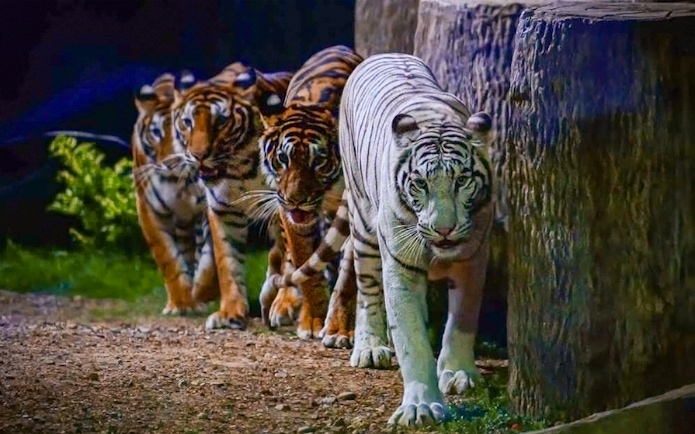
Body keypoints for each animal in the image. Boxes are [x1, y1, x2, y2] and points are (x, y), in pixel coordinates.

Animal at [132, 72, 218, 315]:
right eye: (156, 133)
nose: (171, 163)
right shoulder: (150, 209)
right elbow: (169, 259)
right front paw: (181, 304)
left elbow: (210, 258)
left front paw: (204, 292)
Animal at [172, 62, 293, 330]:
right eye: (187, 122)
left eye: (220, 121)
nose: (199, 155)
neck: (239, 169)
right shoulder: (223, 210)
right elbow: (228, 263)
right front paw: (230, 313)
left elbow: (290, 255)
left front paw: (283, 305)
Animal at [249, 45, 363, 340]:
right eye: (283, 159)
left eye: (319, 161)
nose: (296, 201)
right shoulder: (289, 215)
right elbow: (304, 263)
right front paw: (313, 320)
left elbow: (348, 273)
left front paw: (340, 328)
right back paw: (281, 304)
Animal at [268, 53, 494, 427]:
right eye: (419, 183)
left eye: (462, 180)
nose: (444, 229)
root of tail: (382, 54)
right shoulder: (400, 265)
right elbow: (411, 336)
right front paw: (420, 405)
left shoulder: (473, 258)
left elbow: (462, 320)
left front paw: (459, 373)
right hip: (362, 224)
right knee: (366, 287)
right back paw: (369, 346)